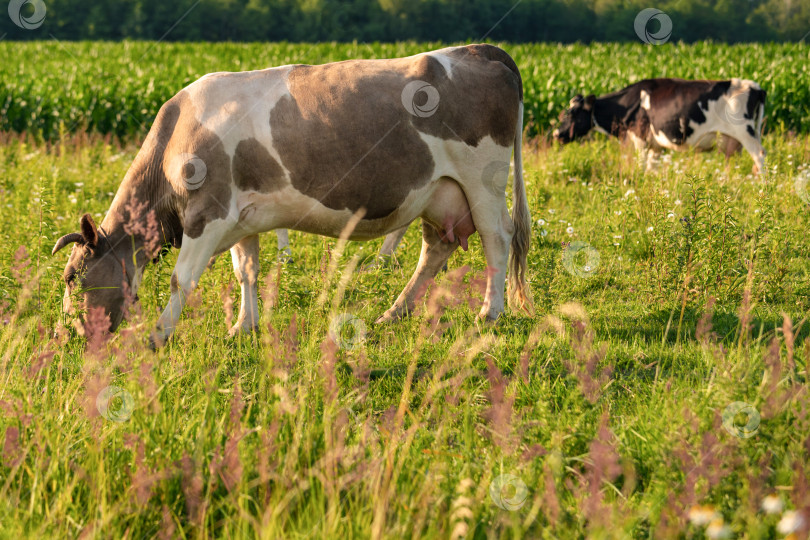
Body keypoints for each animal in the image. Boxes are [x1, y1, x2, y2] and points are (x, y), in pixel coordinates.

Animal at [49, 44, 532, 344]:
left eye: (71, 277)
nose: (62, 335)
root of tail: (480, 49)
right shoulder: (242, 218)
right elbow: (246, 271)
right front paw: (243, 327)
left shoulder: (208, 213)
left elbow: (181, 279)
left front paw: (159, 335)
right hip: (438, 193)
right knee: (436, 250)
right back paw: (394, 312)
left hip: (483, 181)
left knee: (497, 239)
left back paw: (489, 313)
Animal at [548, 77, 764, 173]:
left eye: (573, 114)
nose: (557, 134)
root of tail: (756, 87)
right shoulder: (656, 146)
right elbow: (652, 169)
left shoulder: (640, 139)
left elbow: (642, 166)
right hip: (734, 141)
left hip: (746, 133)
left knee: (759, 156)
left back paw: (763, 186)